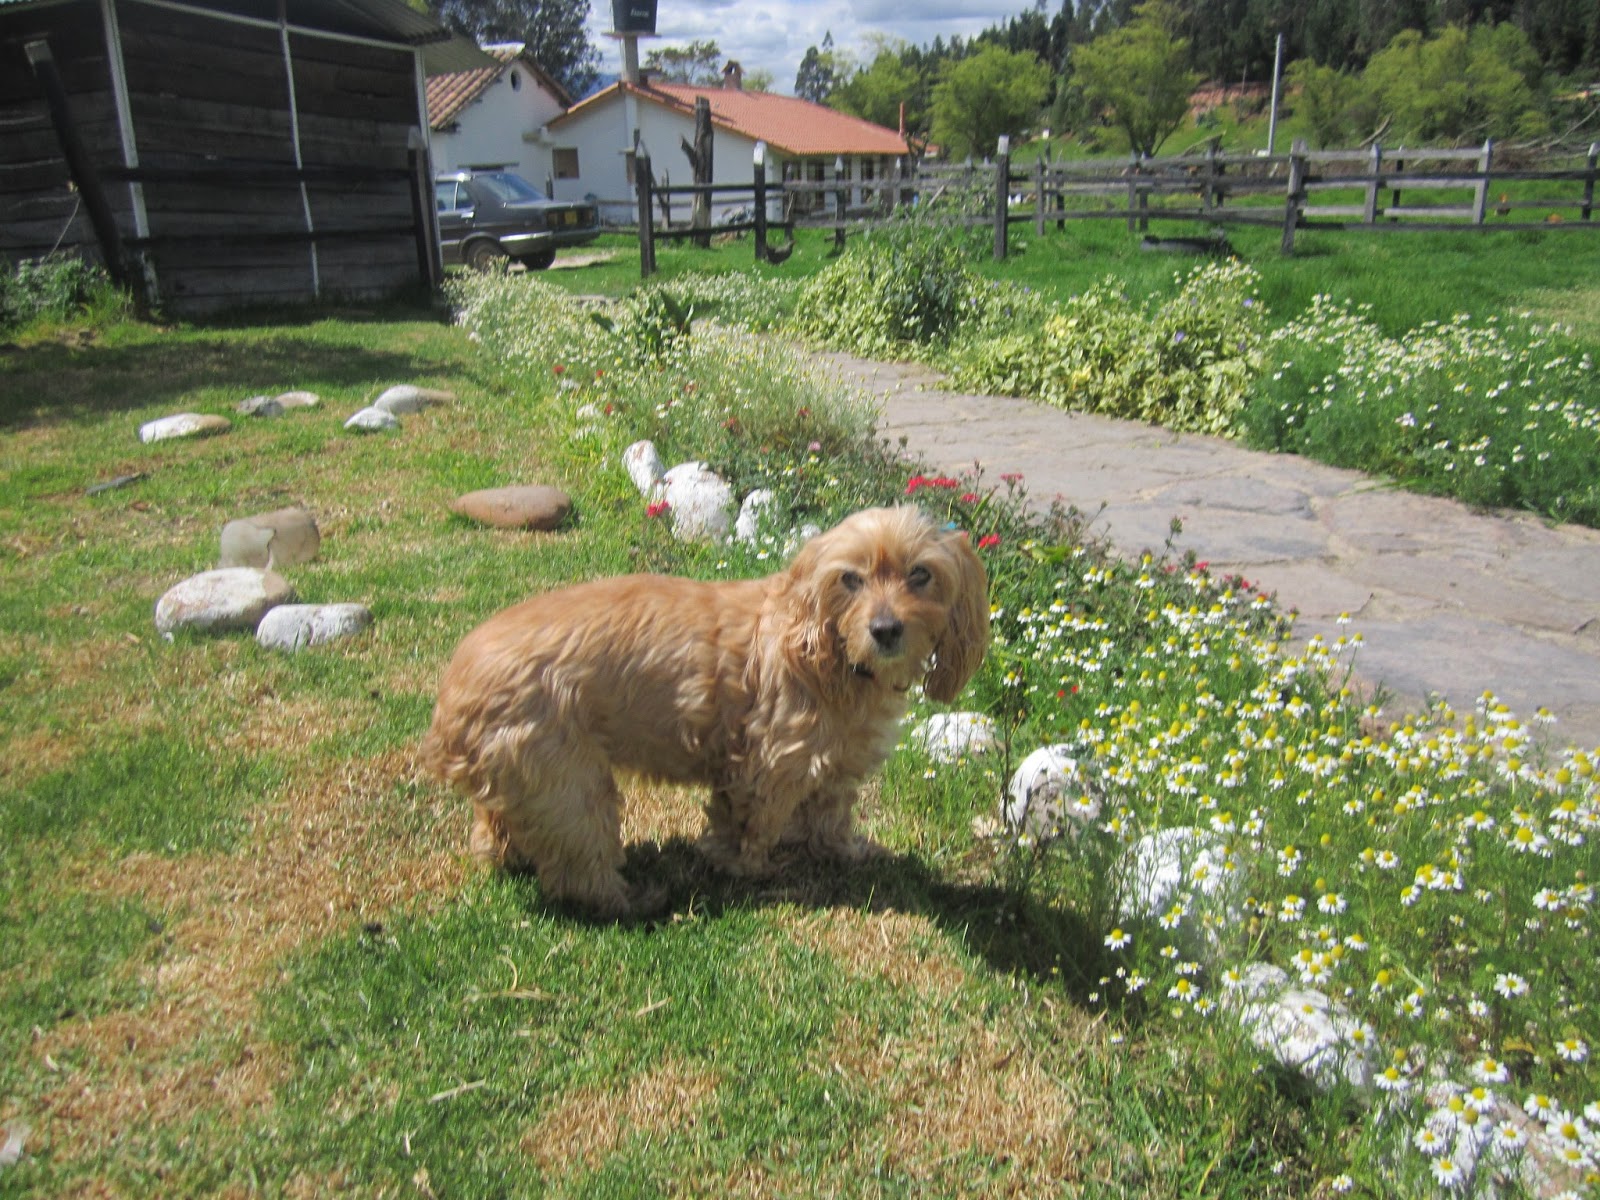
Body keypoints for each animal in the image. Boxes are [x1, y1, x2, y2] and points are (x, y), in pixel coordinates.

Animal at [421, 506, 990, 917]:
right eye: (850, 579)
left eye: (921, 574)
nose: (886, 629)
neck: (824, 648)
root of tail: (452, 689)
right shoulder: (767, 765)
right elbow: (752, 825)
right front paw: (750, 867)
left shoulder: (834, 767)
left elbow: (830, 817)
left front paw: (842, 851)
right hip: (571, 786)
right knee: (577, 869)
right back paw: (631, 900)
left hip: (524, 776)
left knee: (497, 828)